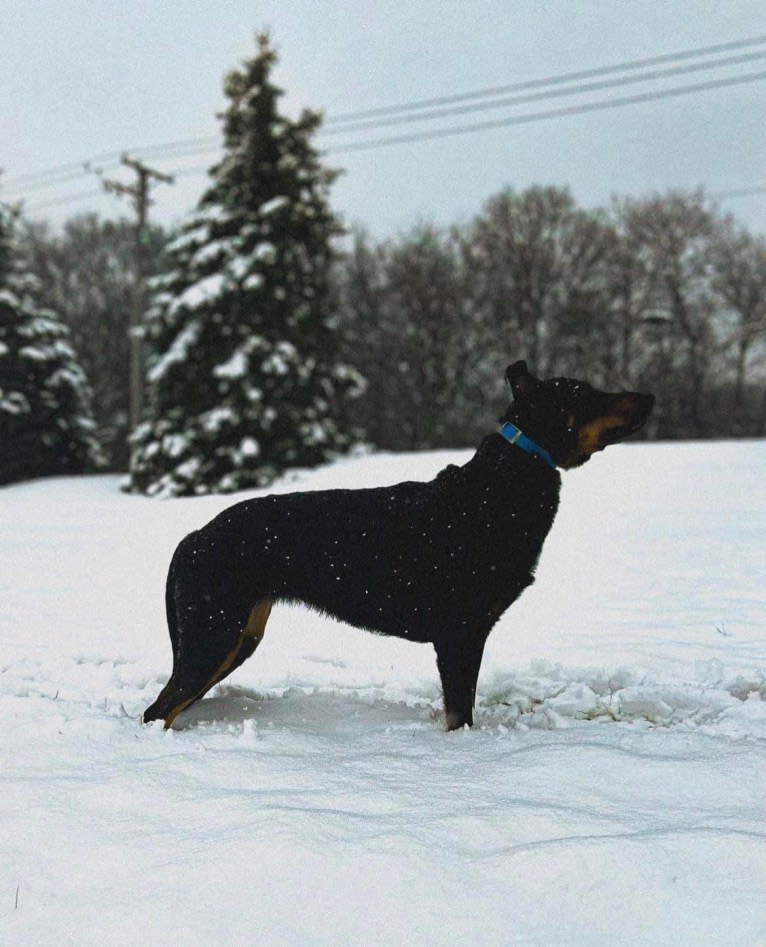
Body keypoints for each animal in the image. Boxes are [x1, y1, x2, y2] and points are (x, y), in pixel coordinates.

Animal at [142, 362, 656, 732]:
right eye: (584, 393)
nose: (649, 396)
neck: (503, 487)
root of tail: (192, 538)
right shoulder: (460, 635)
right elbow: (460, 715)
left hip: (237, 638)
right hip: (213, 636)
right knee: (158, 710)